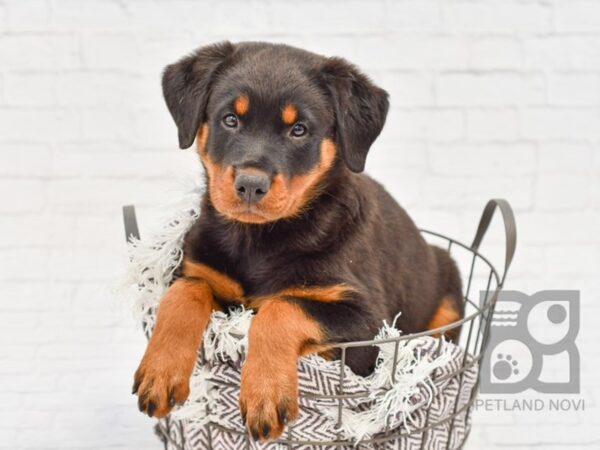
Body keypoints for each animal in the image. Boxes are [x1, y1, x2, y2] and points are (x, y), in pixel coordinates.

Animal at [132, 42, 464, 442]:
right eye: (230, 119)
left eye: (299, 130)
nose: (250, 185)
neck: (260, 240)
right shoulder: (199, 268)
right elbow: (183, 293)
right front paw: (160, 371)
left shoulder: (369, 327)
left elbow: (281, 308)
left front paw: (265, 393)